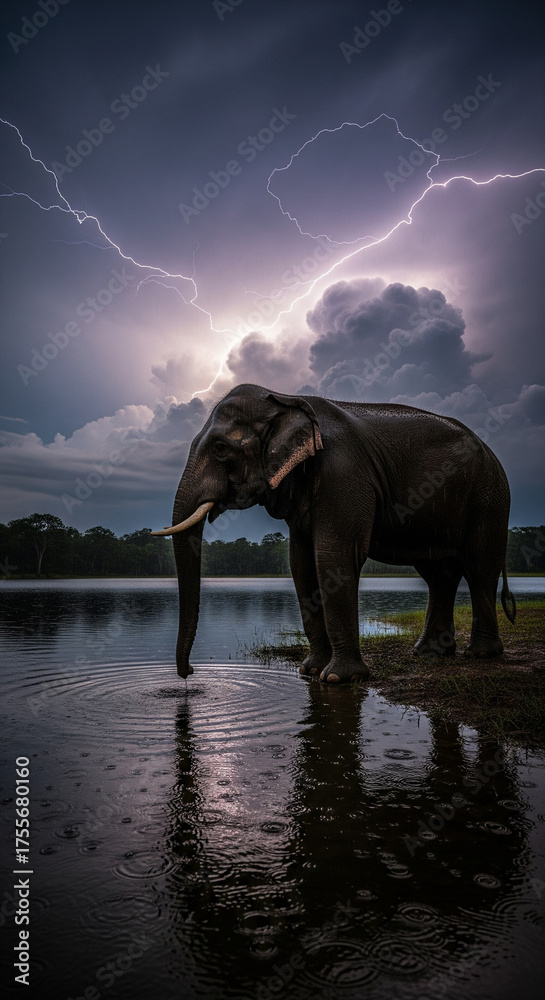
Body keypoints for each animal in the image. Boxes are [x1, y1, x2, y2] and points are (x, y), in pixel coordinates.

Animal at [152, 383, 516, 682]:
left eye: (220, 448)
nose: (189, 674)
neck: (284, 398)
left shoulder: (343, 473)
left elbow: (332, 557)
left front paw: (338, 678)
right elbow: (300, 564)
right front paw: (310, 671)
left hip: (489, 497)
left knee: (479, 567)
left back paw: (481, 654)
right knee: (439, 574)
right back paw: (430, 652)